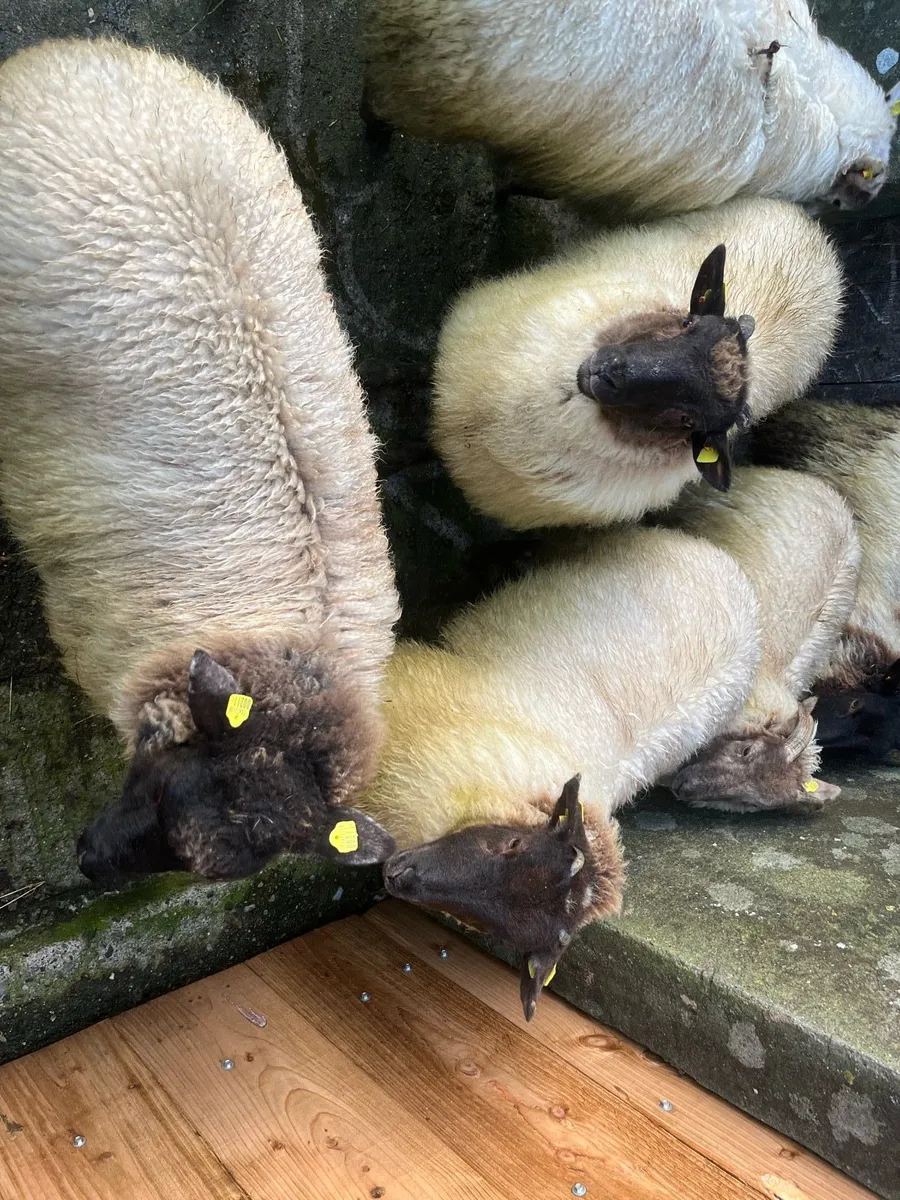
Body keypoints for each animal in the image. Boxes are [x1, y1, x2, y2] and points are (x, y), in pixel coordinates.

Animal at [360, 0, 895, 216]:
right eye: (863, 187)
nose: (843, 209)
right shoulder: (609, 172)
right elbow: (538, 184)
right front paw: (506, 192)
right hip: (439, 80)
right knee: (382, 106)